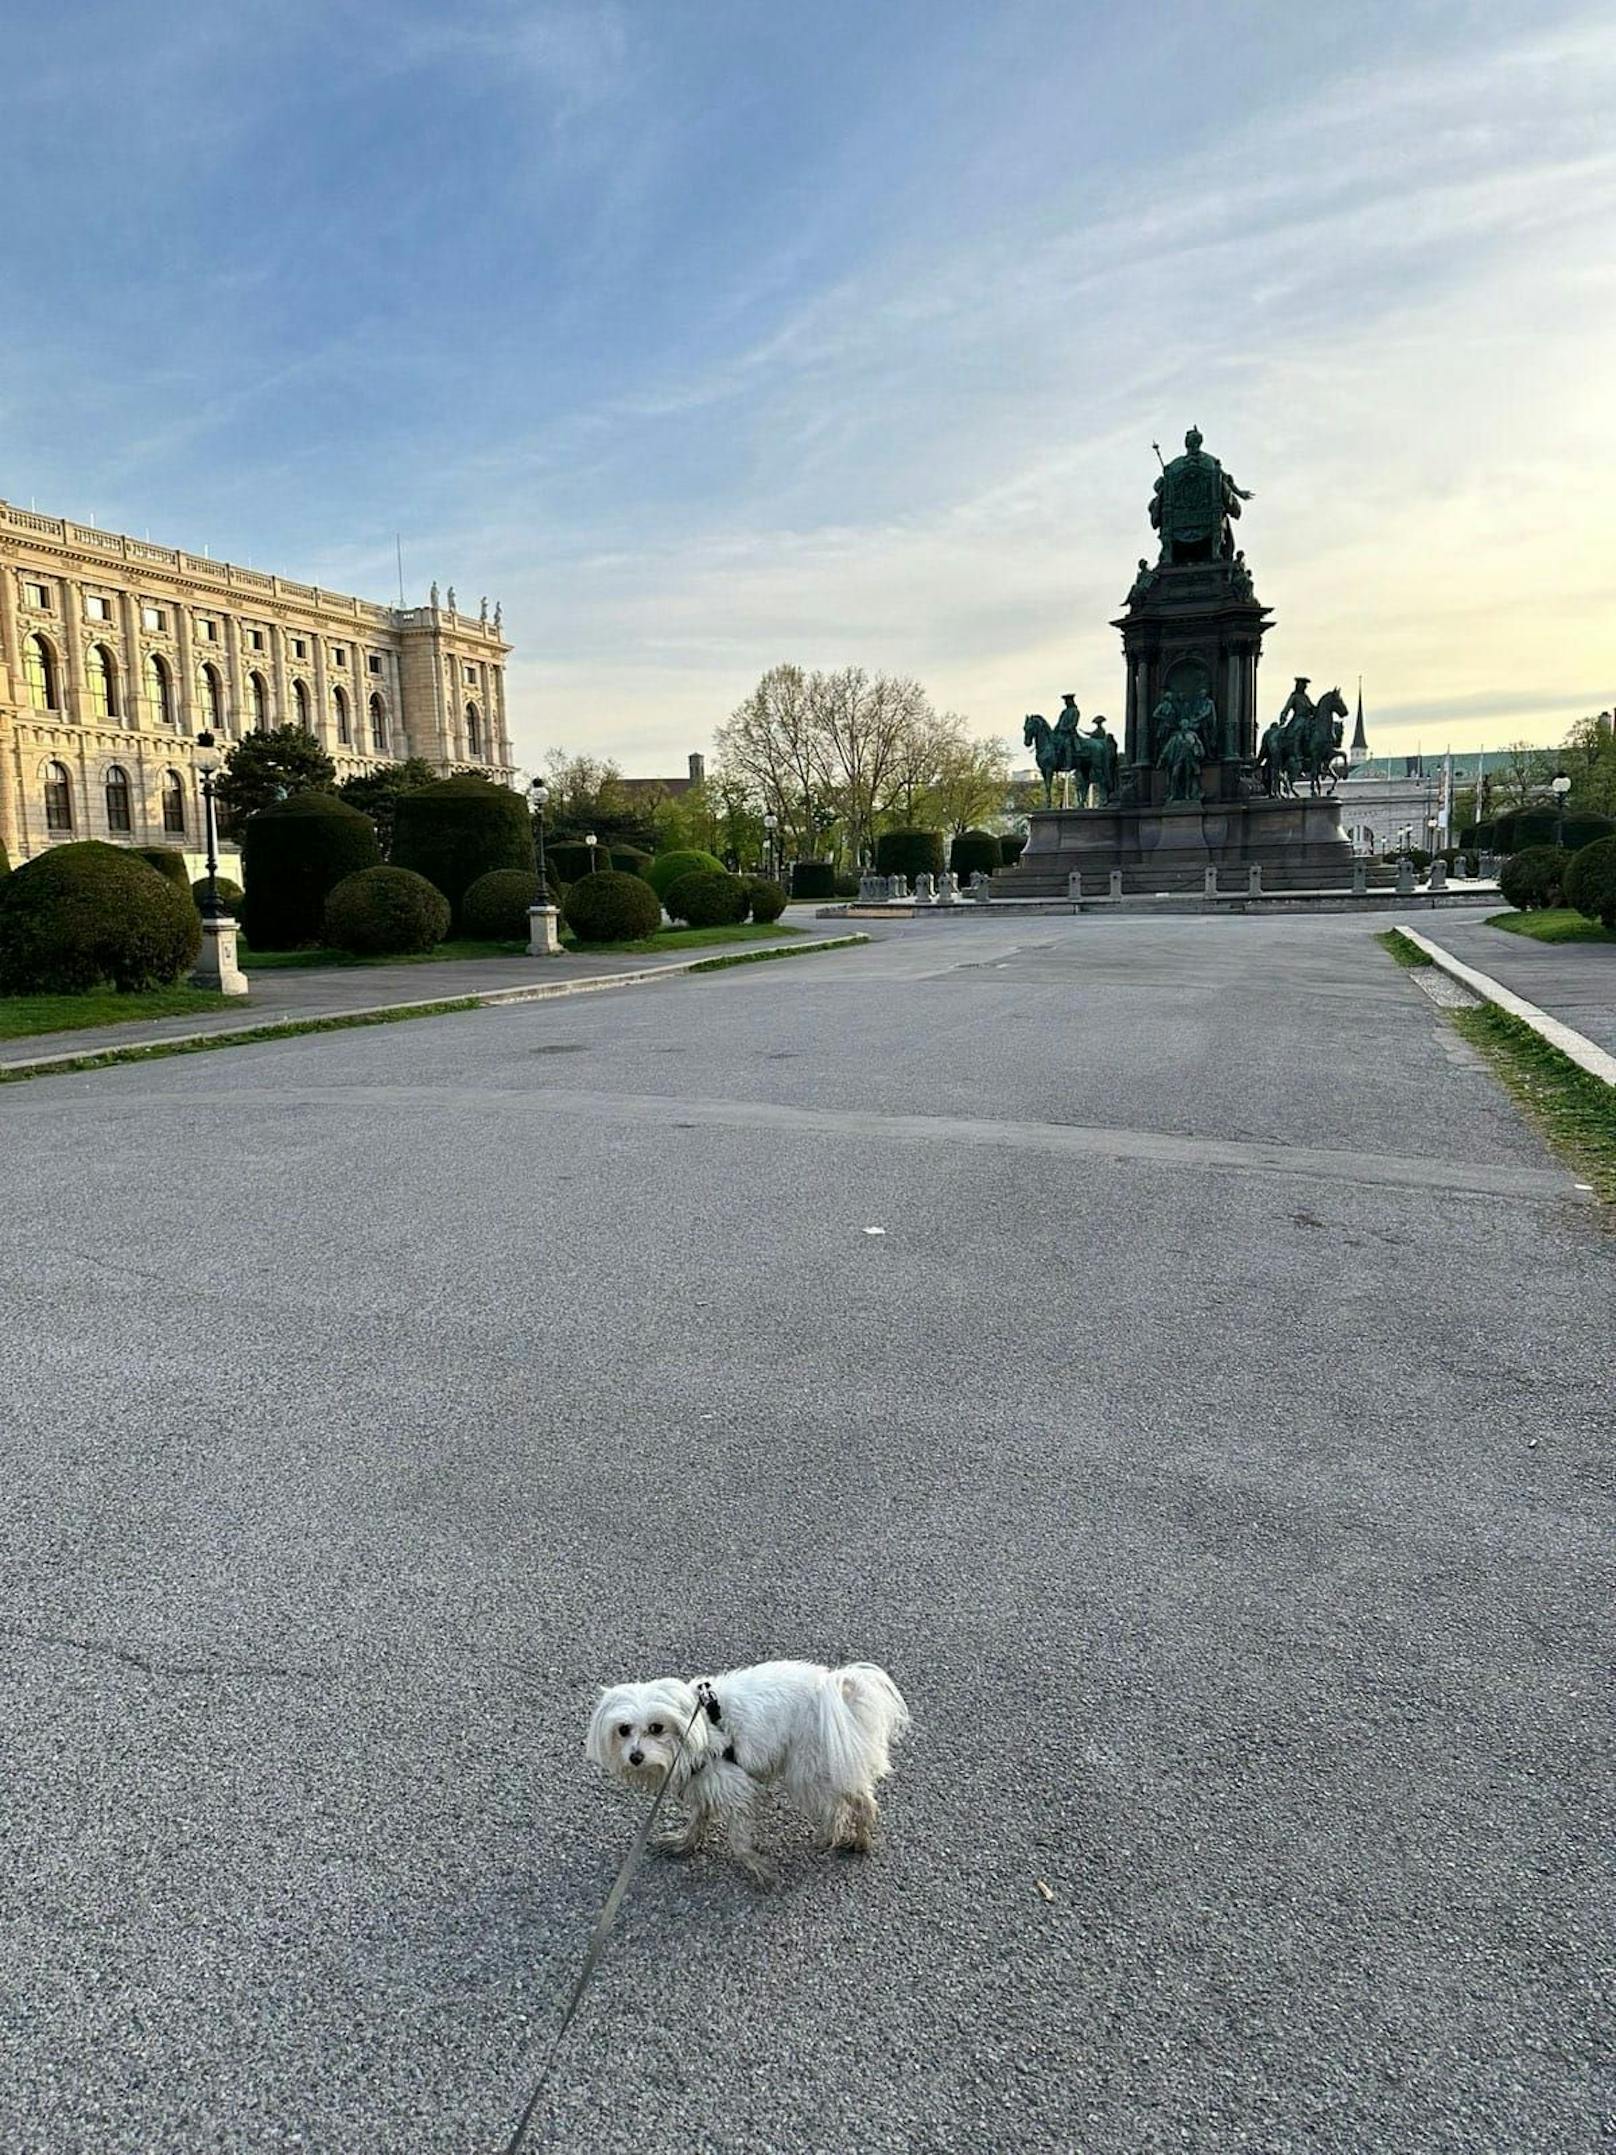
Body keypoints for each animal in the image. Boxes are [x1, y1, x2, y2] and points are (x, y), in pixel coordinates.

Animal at [590, 1655, 913, 1879]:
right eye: (623, 1730)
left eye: (656, 1728)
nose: (635, 1756)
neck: (698, 1725)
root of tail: (837, 1690)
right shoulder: (707, 1782)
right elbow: (698, 1819)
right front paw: (684, 1843)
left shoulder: (735, 1786)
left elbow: (738, 1840)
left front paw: (759, 1869)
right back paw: (832, 1837)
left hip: (809, 1766)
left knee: (856, 1800)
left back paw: (858, 1840)